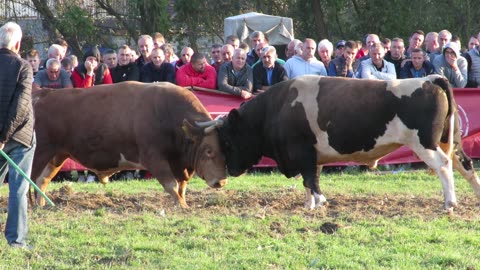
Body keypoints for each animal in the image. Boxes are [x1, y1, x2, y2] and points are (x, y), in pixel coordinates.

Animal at [31, 81, 227, 208]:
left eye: (223, 149)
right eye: (208, 150)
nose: (221, 181)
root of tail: (42, 94)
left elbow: (182, 187)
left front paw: (183, 203)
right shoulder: (154, 158)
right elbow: (171, 184)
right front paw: (181, 206)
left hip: (57, 155)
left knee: (42, 180)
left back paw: (42, 205)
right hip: (40, 152)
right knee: (31, 178)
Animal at [217, 74, 480, 211]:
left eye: (228, 141)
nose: (230, 170)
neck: (279, 106)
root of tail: (430, 79)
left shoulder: (302, 152)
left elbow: (310, 179)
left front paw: (320, 202)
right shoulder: (312, 156)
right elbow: (310, 179)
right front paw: (309, 204)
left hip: (426, 144)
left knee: (443, 165)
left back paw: (449, 203)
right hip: (450, 141)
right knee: (465, 165)